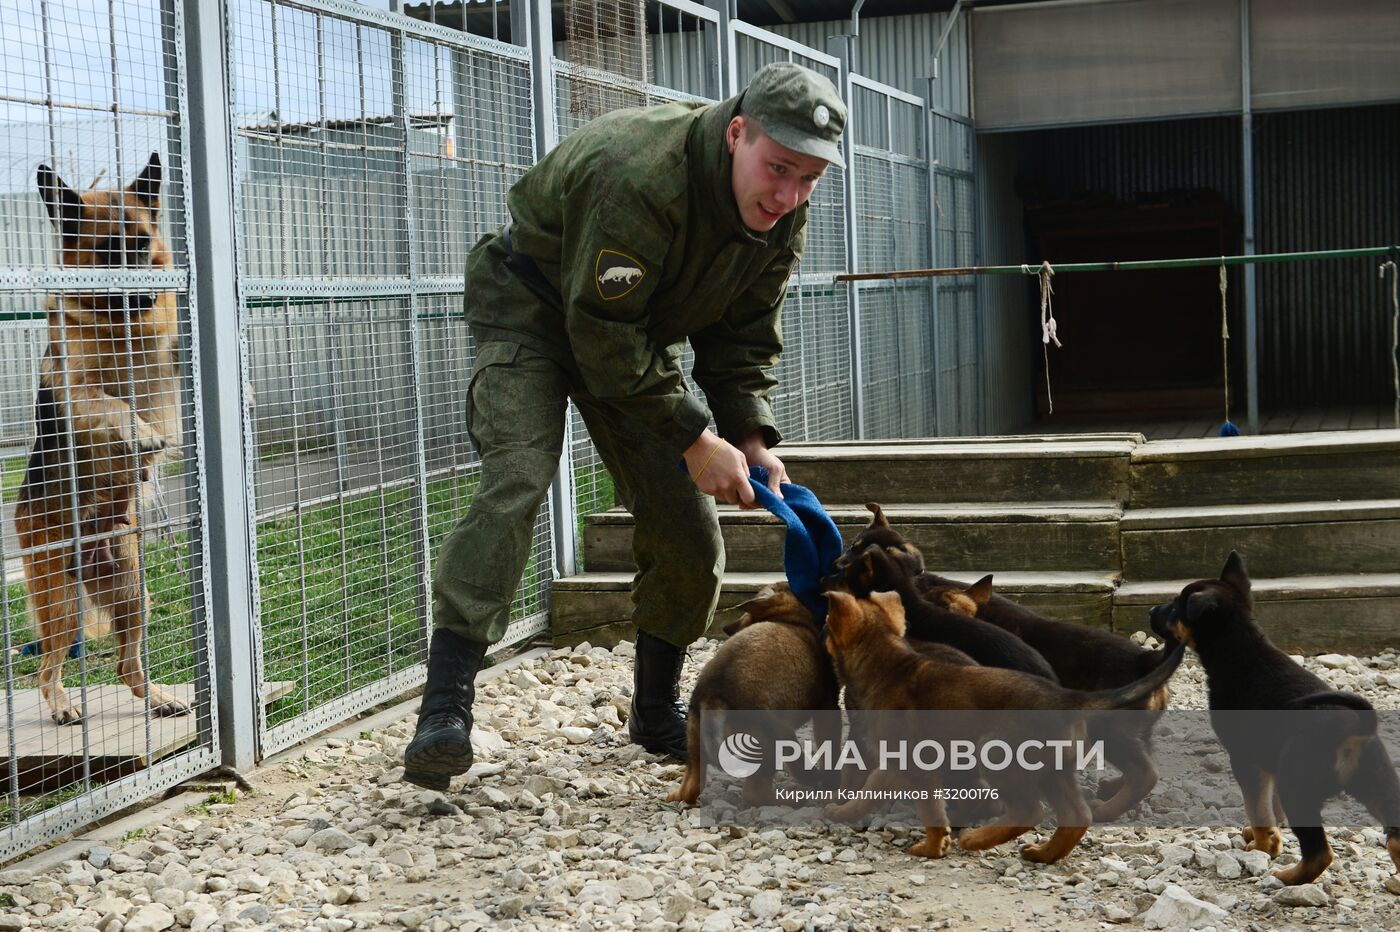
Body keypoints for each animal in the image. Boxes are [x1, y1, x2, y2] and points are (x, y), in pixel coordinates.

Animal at [18, 152, 189, 722]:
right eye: (108, 252)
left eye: (140, 244)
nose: (145, 296)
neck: (121, 328)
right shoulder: (79, 393)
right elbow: (116, 405)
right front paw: (142, 434)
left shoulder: (166, 357)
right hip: (62, 603)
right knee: (48, 667)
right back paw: (61, 705)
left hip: (134, 594)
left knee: (125, 664)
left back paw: (158, 696)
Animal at [666, 584, 840, 800]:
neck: (789, 620)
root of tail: (713, 694)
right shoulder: (828, 708)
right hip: (772, 739)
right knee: (754, 793)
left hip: (695, 740)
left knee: (691, 787)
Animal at [823, 590, 1187, 862]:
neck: (888, 663)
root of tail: (1066, 698)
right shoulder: (904, 762)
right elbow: (878, 789)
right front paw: (846, 812)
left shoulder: (911, 762)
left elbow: (918, 807)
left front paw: (931, 847)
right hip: (1054, 769)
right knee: (1076, 816)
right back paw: (1044, 854)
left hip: (998, 753)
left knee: (1030, 810)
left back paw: (976, 840)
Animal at [840, 500, 1170, 811]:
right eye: (850, 546)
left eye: (855, 553)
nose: (835, 563)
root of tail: (1147, 660)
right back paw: (1109, 788)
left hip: (1110, 728)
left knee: (1144, 774)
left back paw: (1105, 809)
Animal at [1148, 548, 1400, 884]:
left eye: (1176, 606)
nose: (1151, 610)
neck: (1242, 648)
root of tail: (1355, 729)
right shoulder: (1268, 762)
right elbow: (1270, 809)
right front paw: (1267, 841)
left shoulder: (1245, 759)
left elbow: (1258, 810)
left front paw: (1263, 847)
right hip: (1377, 782)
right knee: (1395, 836)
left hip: (1298, 787)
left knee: (1320, 853)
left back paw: (1284, 877)